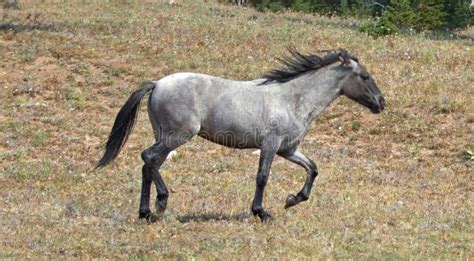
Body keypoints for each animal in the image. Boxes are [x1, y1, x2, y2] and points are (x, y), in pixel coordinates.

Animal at [96, 47, 386, 221]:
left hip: (165, 137)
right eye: (365, 76)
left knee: (149, 164)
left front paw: (292, 200)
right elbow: (262, 177)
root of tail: (157, 83)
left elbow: (312, 169)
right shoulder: (270, 145)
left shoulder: (288, 149)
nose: (381, 103)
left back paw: (145, 212)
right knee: (148, 158)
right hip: (176, 136)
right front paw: (261, 212)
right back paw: (160, 204)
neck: (293, 99)